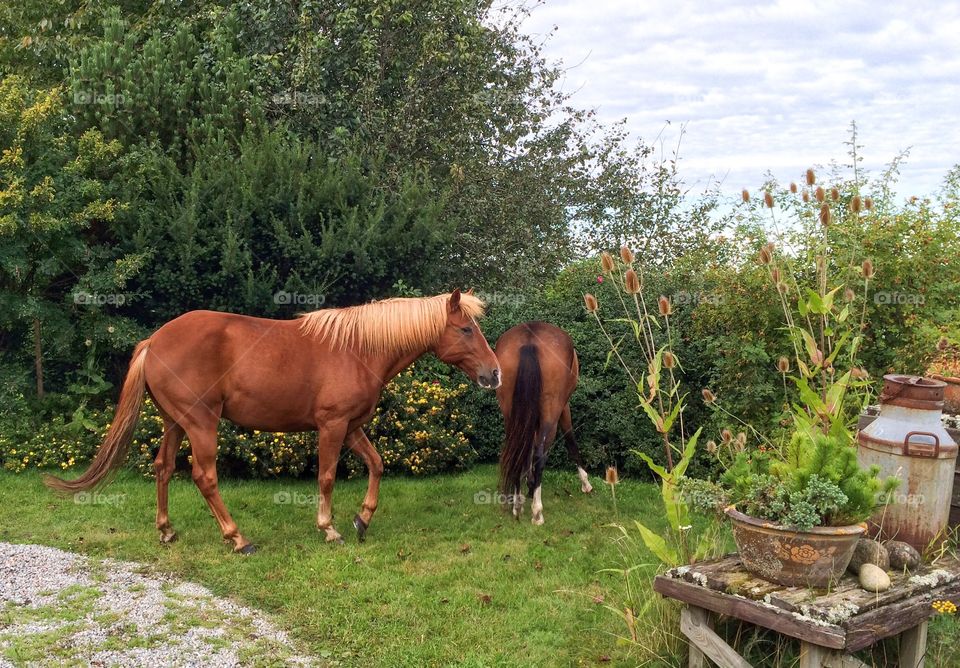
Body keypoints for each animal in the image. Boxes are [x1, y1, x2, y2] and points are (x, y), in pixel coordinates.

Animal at [45, 290, 501, 553]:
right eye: (465, 329)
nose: (494, 374)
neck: (358, 348)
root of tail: (154, 341)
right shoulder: (333, 426)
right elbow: (327, 477)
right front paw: (329, 529)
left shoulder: (353, 426)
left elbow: (376, 464)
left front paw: (362, 520)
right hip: (201, 424)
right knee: (204, 476)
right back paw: (237, 538)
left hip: (174, 423)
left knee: (163, 468)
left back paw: (167, 531)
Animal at [495, 321, 591, 525]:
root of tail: (529, 340)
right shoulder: (564, 408)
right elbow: (570, 441)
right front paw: (586, 483)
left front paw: (529, 485)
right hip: (551, 413)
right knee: (540, 454)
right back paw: (537, 512)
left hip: (511, 414)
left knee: (518, 450)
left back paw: (517, 506)